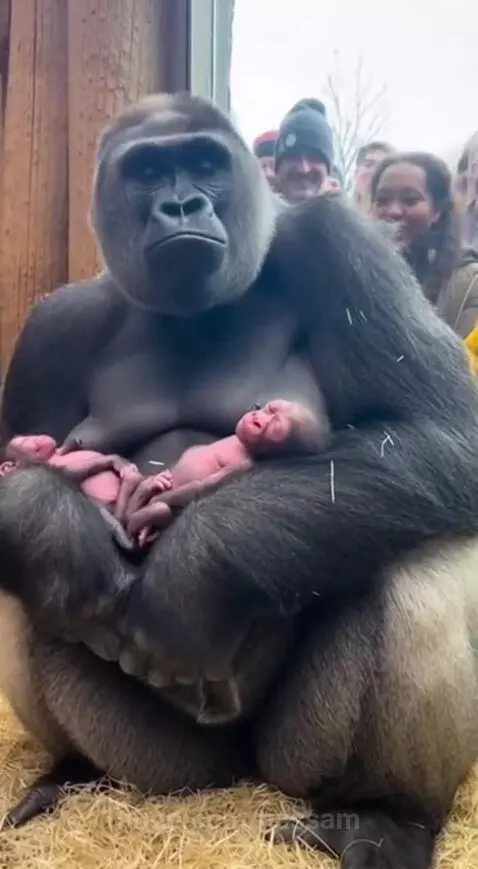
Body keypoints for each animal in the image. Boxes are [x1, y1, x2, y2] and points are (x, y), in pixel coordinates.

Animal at [0, 92, 477, 868]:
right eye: (148, 172)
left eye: (204, 164)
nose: (181, 205)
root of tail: (242, 777)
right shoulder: (53, 326)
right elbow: (19, 473)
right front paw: (59, 526)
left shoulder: (338, 241)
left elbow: (443, 434)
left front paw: (195, 578)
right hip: (176, 771)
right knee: (29, 582)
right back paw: (73, 771)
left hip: (290, 761)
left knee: (420, 542)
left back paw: (388, 814)